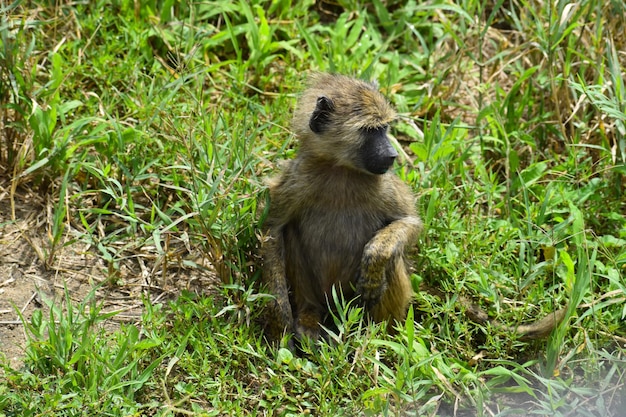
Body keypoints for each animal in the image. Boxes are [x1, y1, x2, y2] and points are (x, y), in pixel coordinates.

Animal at [258, 72, 420, 342]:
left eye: (384, 128)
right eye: (370, 130)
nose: (392, 155)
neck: (341, 169)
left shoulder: (384, 185)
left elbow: (408, 222)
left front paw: (374, 264)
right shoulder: (296, 179)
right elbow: (272, 229)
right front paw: (279, 317)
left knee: (393, 258)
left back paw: (378, 336)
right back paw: (309, 320)